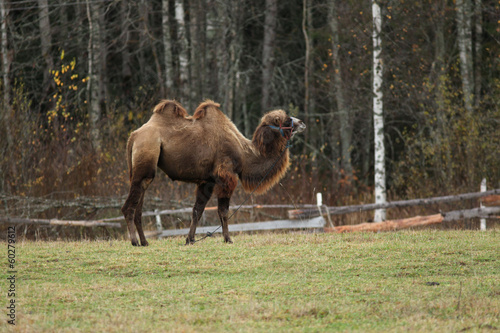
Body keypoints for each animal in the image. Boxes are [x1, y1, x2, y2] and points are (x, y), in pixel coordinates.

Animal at [120, 98, 304, 244]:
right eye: (286, 120)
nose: (302, 123)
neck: (245, 154)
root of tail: (133, 136)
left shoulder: (207, 181)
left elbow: (197, 211)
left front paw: (190, 239)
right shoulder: (227, 176)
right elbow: (223, 211)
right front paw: (228, 239)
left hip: (142, 167)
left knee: (138, 207)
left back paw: (144, 241)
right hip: (146, 155)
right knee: (129, 206)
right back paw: (135, 242)